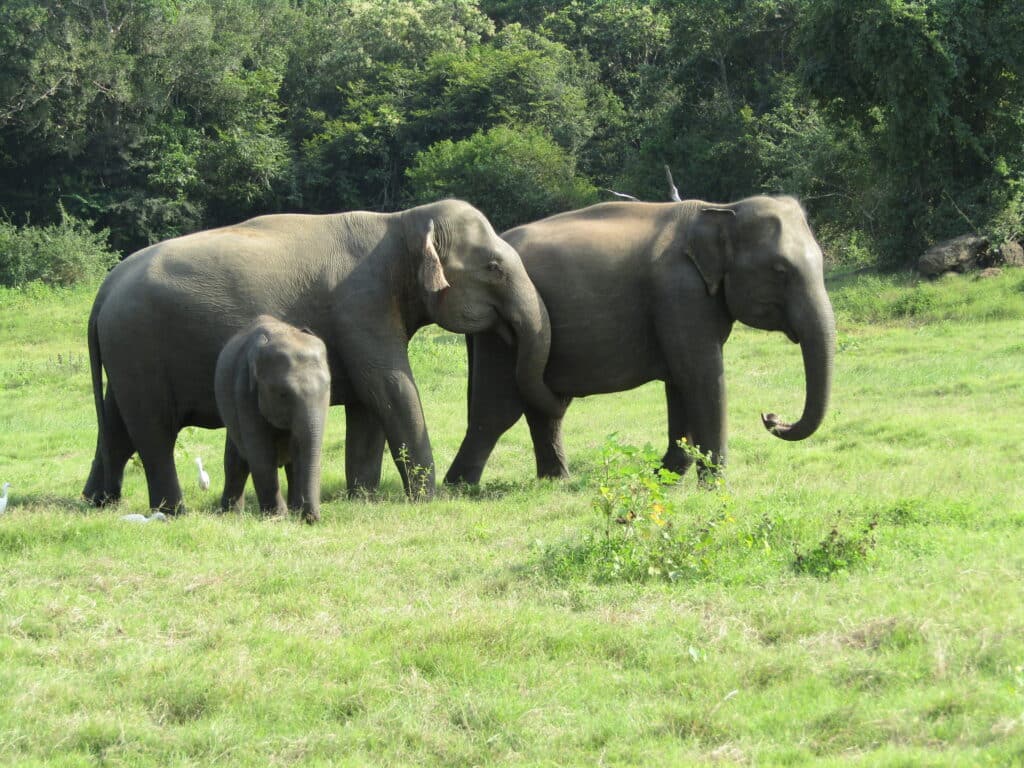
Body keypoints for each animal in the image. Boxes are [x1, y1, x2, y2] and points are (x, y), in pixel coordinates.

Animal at [215, 316, 331, 523]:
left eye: (327, 388)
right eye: (283, 394)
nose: (312, 519)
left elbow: (298, 450)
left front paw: (294, 514)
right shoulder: (244, 391)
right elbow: (261, 453)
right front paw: (277, 518)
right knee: (236, 462)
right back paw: (231, 515)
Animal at [444, 195, 836, 486]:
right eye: (780, 271)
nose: (771, 417)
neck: (722, 209)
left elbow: (681, 383)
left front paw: (665, 477)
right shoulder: (680, 294)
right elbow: (701, 378)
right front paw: (713, 487)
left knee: (539, 407)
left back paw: (555, 482)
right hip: (500, 330)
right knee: (497, 411)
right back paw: (460, 488)